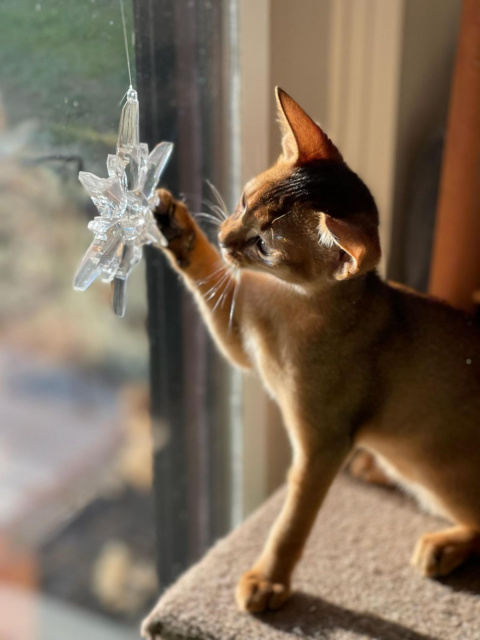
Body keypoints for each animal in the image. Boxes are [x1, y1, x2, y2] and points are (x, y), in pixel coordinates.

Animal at [145, 87, 480, 616]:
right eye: (243, 200)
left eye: (265, 246)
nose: (224, 236)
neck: (289, 304)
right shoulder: (242, 344)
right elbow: (209, 275)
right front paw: (174, 227)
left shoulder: (322, 444)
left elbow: (292, 520)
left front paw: (268, 581)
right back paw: (373, 470)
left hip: (440, 472)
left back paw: (442, 546)